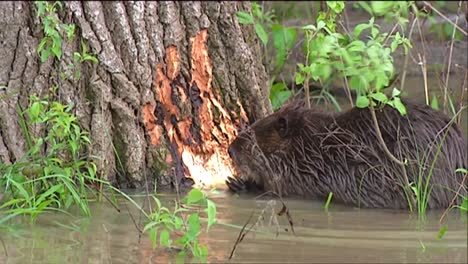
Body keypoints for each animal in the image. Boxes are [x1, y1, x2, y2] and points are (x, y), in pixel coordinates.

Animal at [226, 100, 464, 209]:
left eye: (250, 134)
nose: (229, 150)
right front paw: (237, 182)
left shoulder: (302, 175)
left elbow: (276, 190)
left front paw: (239, 184)